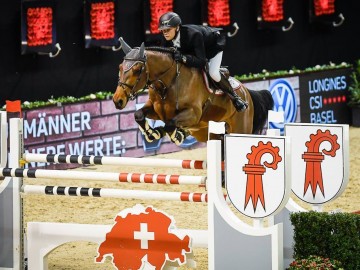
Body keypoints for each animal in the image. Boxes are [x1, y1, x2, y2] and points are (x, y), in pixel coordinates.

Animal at [114, 38, 274, 146]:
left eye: (137, 70)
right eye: (120, 67)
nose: (117, 100)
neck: (168, 82)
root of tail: (246, 91)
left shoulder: (193, 114)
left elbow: (170, 124)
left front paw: (175, 135)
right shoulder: (156, 110)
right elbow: (138, 114)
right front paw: (153, 133)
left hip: (239, 127)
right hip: (206, 132)